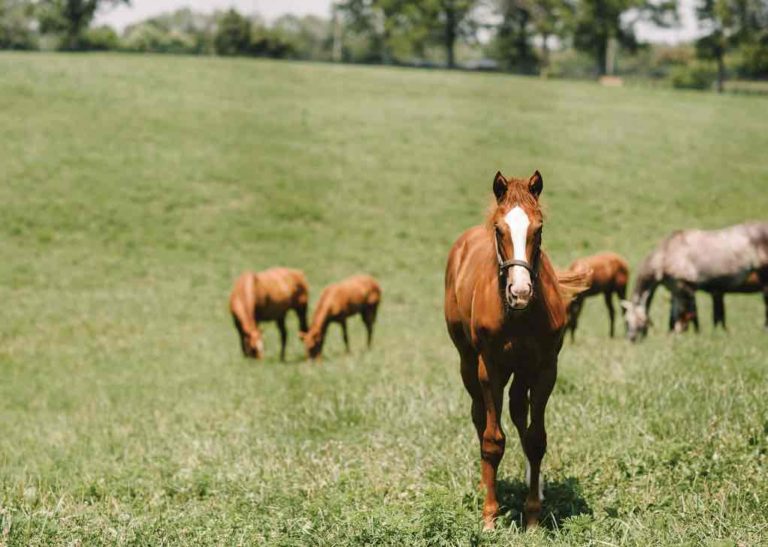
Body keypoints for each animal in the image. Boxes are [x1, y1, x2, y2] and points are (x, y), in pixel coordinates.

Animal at [444, 171, 588, 532]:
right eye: (499, 229)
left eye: (539, 229)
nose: (519, 292)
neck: (519, 315)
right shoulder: (490, 367)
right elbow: (493, 441)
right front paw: (489, 516)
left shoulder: (545, 368)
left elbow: (536, 439)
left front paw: (533, 514)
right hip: (468, 362)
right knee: (479, 416)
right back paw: (484, 482)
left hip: (521, 371)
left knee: (519, 414)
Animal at [624, 220, 768, 340]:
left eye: (628, 320)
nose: (631, 339)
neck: (667, 252)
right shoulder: (676, 290)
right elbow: (675, 316)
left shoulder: (686, 287)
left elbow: (690, 314)